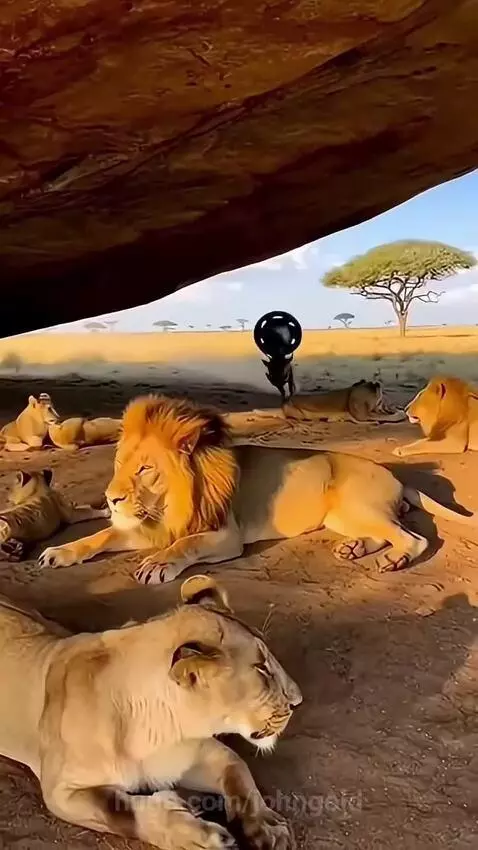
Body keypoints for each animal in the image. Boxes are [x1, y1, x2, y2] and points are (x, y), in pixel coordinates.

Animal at [0, 574, 301, 850]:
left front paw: (268, 827)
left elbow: (239, 773)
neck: (158, 728)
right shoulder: (60, 790)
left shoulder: (197, 752)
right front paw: (200, 837)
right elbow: (120, 812)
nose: (298, 701)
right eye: (261, 668)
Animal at [38, 394, 478, 580]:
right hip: (342, 517)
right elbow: (97, 537)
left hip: (358, 506)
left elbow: (186, 545)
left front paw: (159, 565)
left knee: (414, 538)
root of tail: (396, 476)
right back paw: (354, 549)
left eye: (146, 469)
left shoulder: (225, 536)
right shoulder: (146, 526)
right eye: (118, 465)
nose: (110, 499)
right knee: (388, 532)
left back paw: (394, 560)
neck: (167, 503)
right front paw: (60, 552)